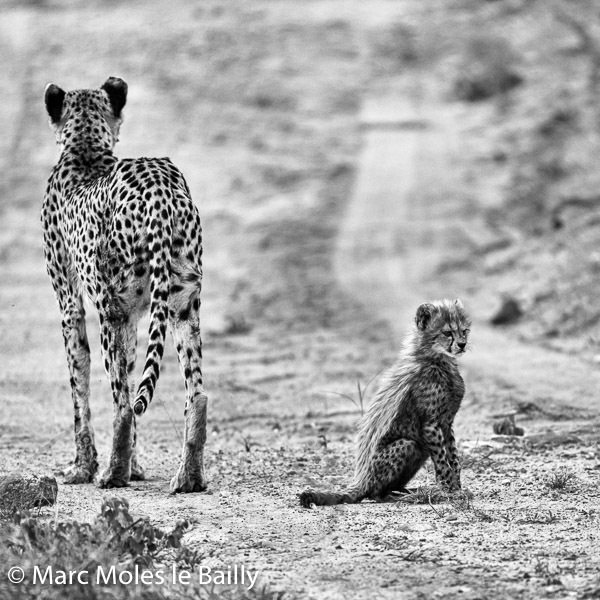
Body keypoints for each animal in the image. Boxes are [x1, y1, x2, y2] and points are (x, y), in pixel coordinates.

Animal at [42, 78, 206, 492]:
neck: (85, 147)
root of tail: (158, 185)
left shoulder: (72, 304)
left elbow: (79, 379)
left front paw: (83, 468)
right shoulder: (133, 313)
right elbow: (131, 369)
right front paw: (136, 467)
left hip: (110, 308)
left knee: (122, 402)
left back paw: (111, 475)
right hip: (182, 302)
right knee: (195, 394)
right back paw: (189, 477)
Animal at [300, 300, 468, 506]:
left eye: (464, 331)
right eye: (447, 333)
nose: (462, 344)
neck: (439, 361)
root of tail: (360, 480)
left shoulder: (446, 422)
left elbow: (454, 457)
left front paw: (457, 488)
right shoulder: (431, 424)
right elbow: (443, 461)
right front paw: (447, 491)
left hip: (419, 450)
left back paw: (409, 491)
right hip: (408, 444)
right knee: (374, 493)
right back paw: (402, 496)